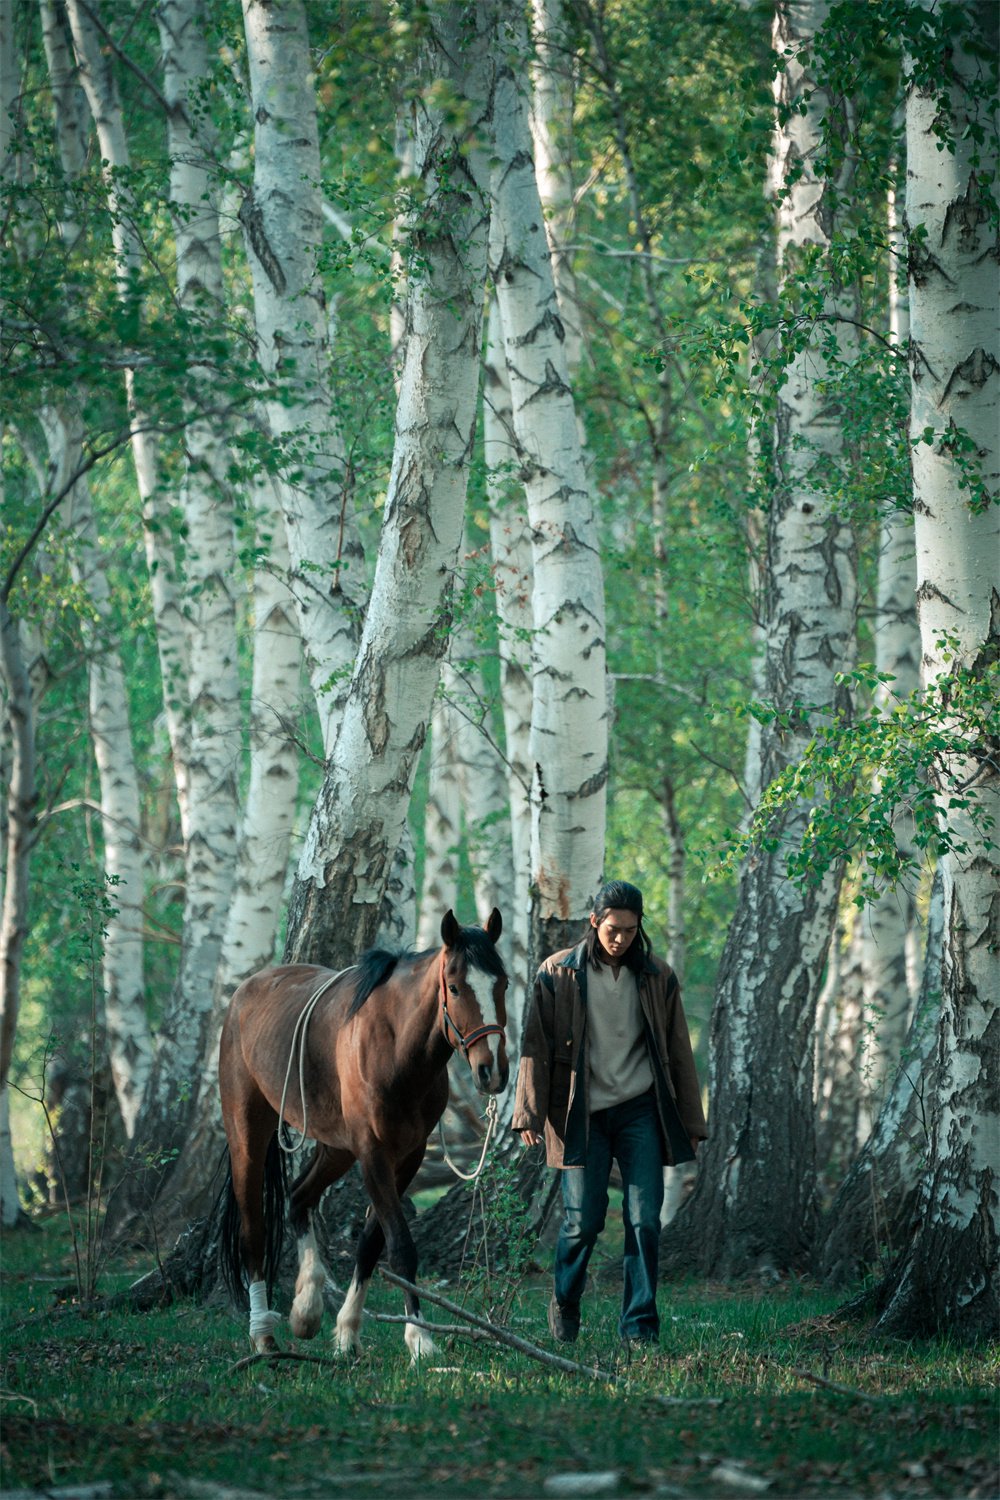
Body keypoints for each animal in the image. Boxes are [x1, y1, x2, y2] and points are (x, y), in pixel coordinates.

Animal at [220, 906, 512, 1368]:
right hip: (248, 1133)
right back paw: (263, 1335)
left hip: (336, 1149)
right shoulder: (373, 1155)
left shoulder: (407, 1156)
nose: (492, 1071)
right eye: (454, 987)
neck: (396, 1049)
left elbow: (371, 1245)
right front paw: (420, 1338)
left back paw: (306, 1309)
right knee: (254, 1230)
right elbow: (401, 1246)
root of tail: (244, 993)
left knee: (299, 1198)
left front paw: (347, 1333)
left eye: (503, 983)